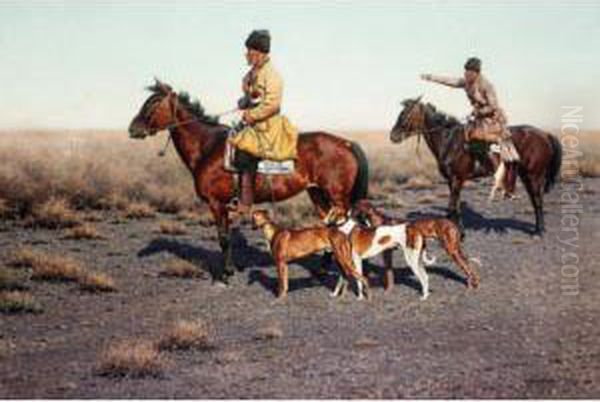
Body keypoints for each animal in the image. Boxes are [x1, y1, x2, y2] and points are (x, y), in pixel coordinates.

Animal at [129, 80, 368, 282]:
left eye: (153, 103)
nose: (133, 128)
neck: (207, 146)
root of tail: (346, 143)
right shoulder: (223, 206)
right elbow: (226, 237)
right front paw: (230, 270)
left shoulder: (216, 204)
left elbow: (223, 238)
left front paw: (225, 275)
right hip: (317, 194)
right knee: (330, 226)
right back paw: (321, 269)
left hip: (337, 197)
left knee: (342, 228)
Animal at [326, 203, 480, 300]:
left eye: (332, 213)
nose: (325, 222)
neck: (350, 228)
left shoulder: (357, 260)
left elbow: (359, 280)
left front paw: (360, 297)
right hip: (419, 259)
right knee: (426, 277)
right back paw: (426, 295)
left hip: (418, 258)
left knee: (426, 276)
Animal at [390, 98, 564, 236]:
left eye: (406, 114)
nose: (393, 136)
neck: (449, 141)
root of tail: (545, 134)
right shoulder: (452, 181)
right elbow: (455, 207)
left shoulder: (457, 179)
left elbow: (451, 208)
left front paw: (458, 233)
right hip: (527, 175)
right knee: (535, 200)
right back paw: (537, 228)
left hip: (534, 175)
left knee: (537, 199)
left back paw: (539, 231)